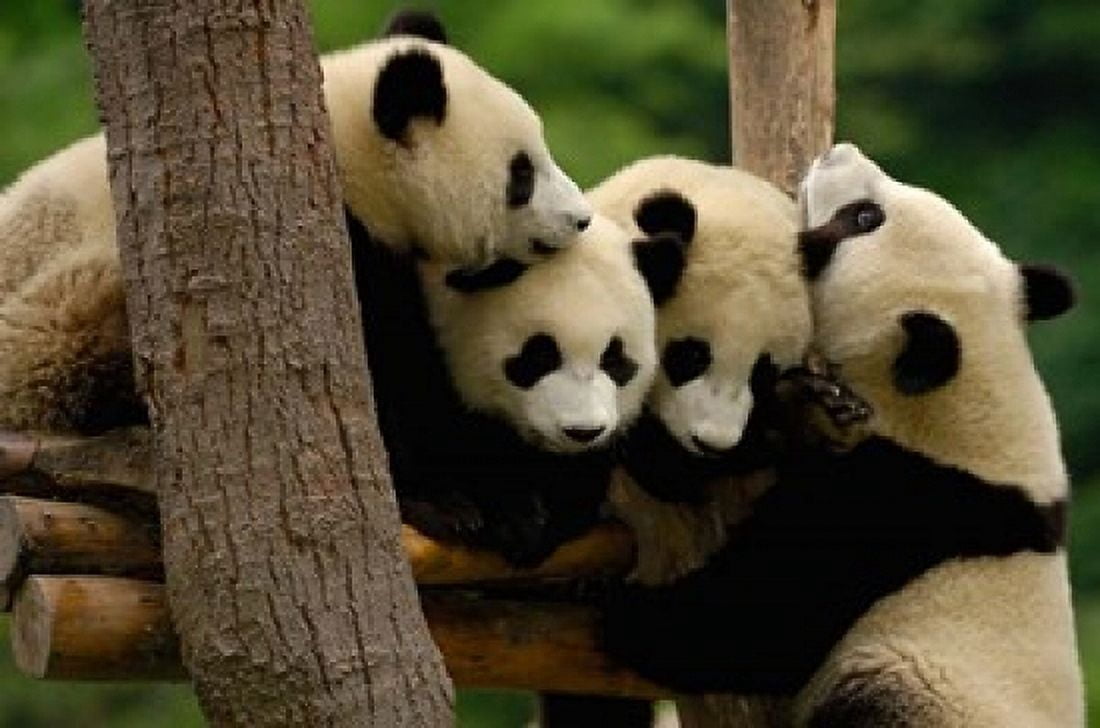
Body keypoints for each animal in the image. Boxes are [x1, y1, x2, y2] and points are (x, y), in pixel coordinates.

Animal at [0, 9, 591, 435]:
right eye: (521, 175)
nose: (580, 219)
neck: (345, 157)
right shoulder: (326, 244)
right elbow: (388, 373)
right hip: (57, 324)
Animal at [601, 144, 1084, 727]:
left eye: (864, 219)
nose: (838, 151)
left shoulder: (895, 499)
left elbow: (760, 616)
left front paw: (625, 613)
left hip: (919, 688)